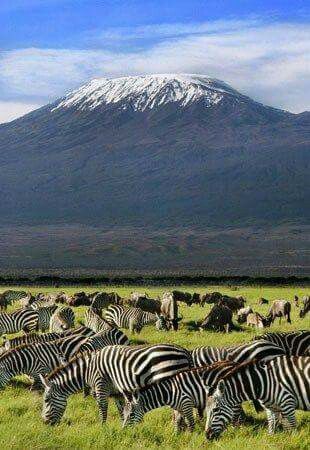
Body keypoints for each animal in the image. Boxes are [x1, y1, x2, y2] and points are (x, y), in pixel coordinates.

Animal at [40, 342, 193, 424]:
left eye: (46, 400)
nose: (45, 423)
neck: (88, 370)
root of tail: (184, 351)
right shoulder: (117, 392)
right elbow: (121, 410)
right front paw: (122, 427)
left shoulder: (101, 387)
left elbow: (102, 410)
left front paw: (102, 428)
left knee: (178, 412)